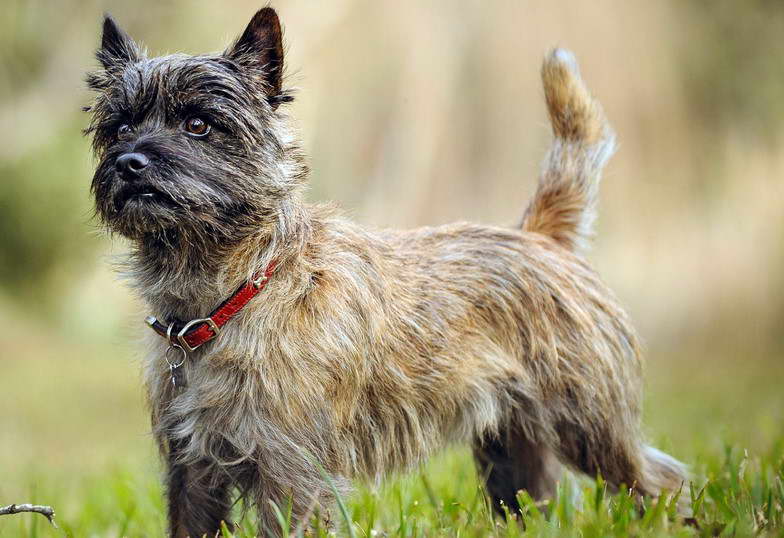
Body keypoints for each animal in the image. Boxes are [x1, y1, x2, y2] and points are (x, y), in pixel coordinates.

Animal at [86, 6, 688, 532]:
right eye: (119, 129)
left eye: (198, 124)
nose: (129, 162)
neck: (230, 295)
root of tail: (539, 235)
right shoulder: (190, 472)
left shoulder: (292, 475)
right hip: (512, 449)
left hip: (589, 424)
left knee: (660, 480)